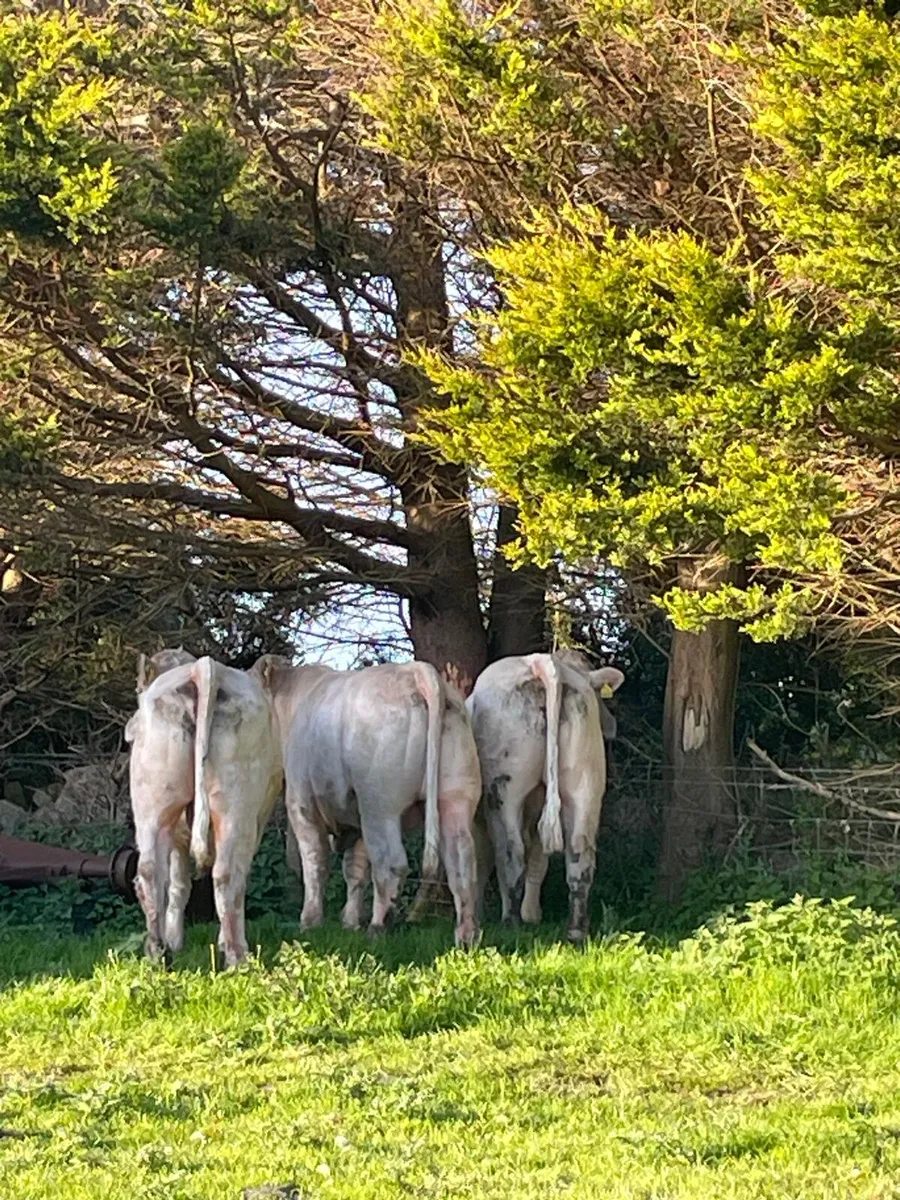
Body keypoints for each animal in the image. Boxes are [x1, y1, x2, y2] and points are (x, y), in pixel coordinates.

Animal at [125, 651, 283, 966]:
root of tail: (203, 667)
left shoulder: (177, 835)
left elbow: (178, 884)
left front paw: (175, 940)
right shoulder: (258, 822)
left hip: (154, 802)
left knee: (149, 871)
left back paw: (157, 952)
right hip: (237, 806)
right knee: (227, 874)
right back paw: (237, 956)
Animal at [252, 656, 482, 947]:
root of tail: (416, 672)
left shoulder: (302, 804)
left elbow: (315, 863)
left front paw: (309, 922)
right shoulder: (355, 817)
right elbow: (355, 868)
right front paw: (350, 923)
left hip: (379, 804)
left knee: (391, 863)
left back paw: (378, 927)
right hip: (456, 794)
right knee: (462, 862)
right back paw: (466, 936)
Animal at [467, 651, 624, 942]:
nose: (611, 727)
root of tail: (542, 661)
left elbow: (482, 862)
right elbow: (539, 861)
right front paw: (533, 915)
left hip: (505, 791)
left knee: (511, 852)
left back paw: (510, 923)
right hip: (585, 784)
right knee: (579, 852)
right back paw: (576, 929)